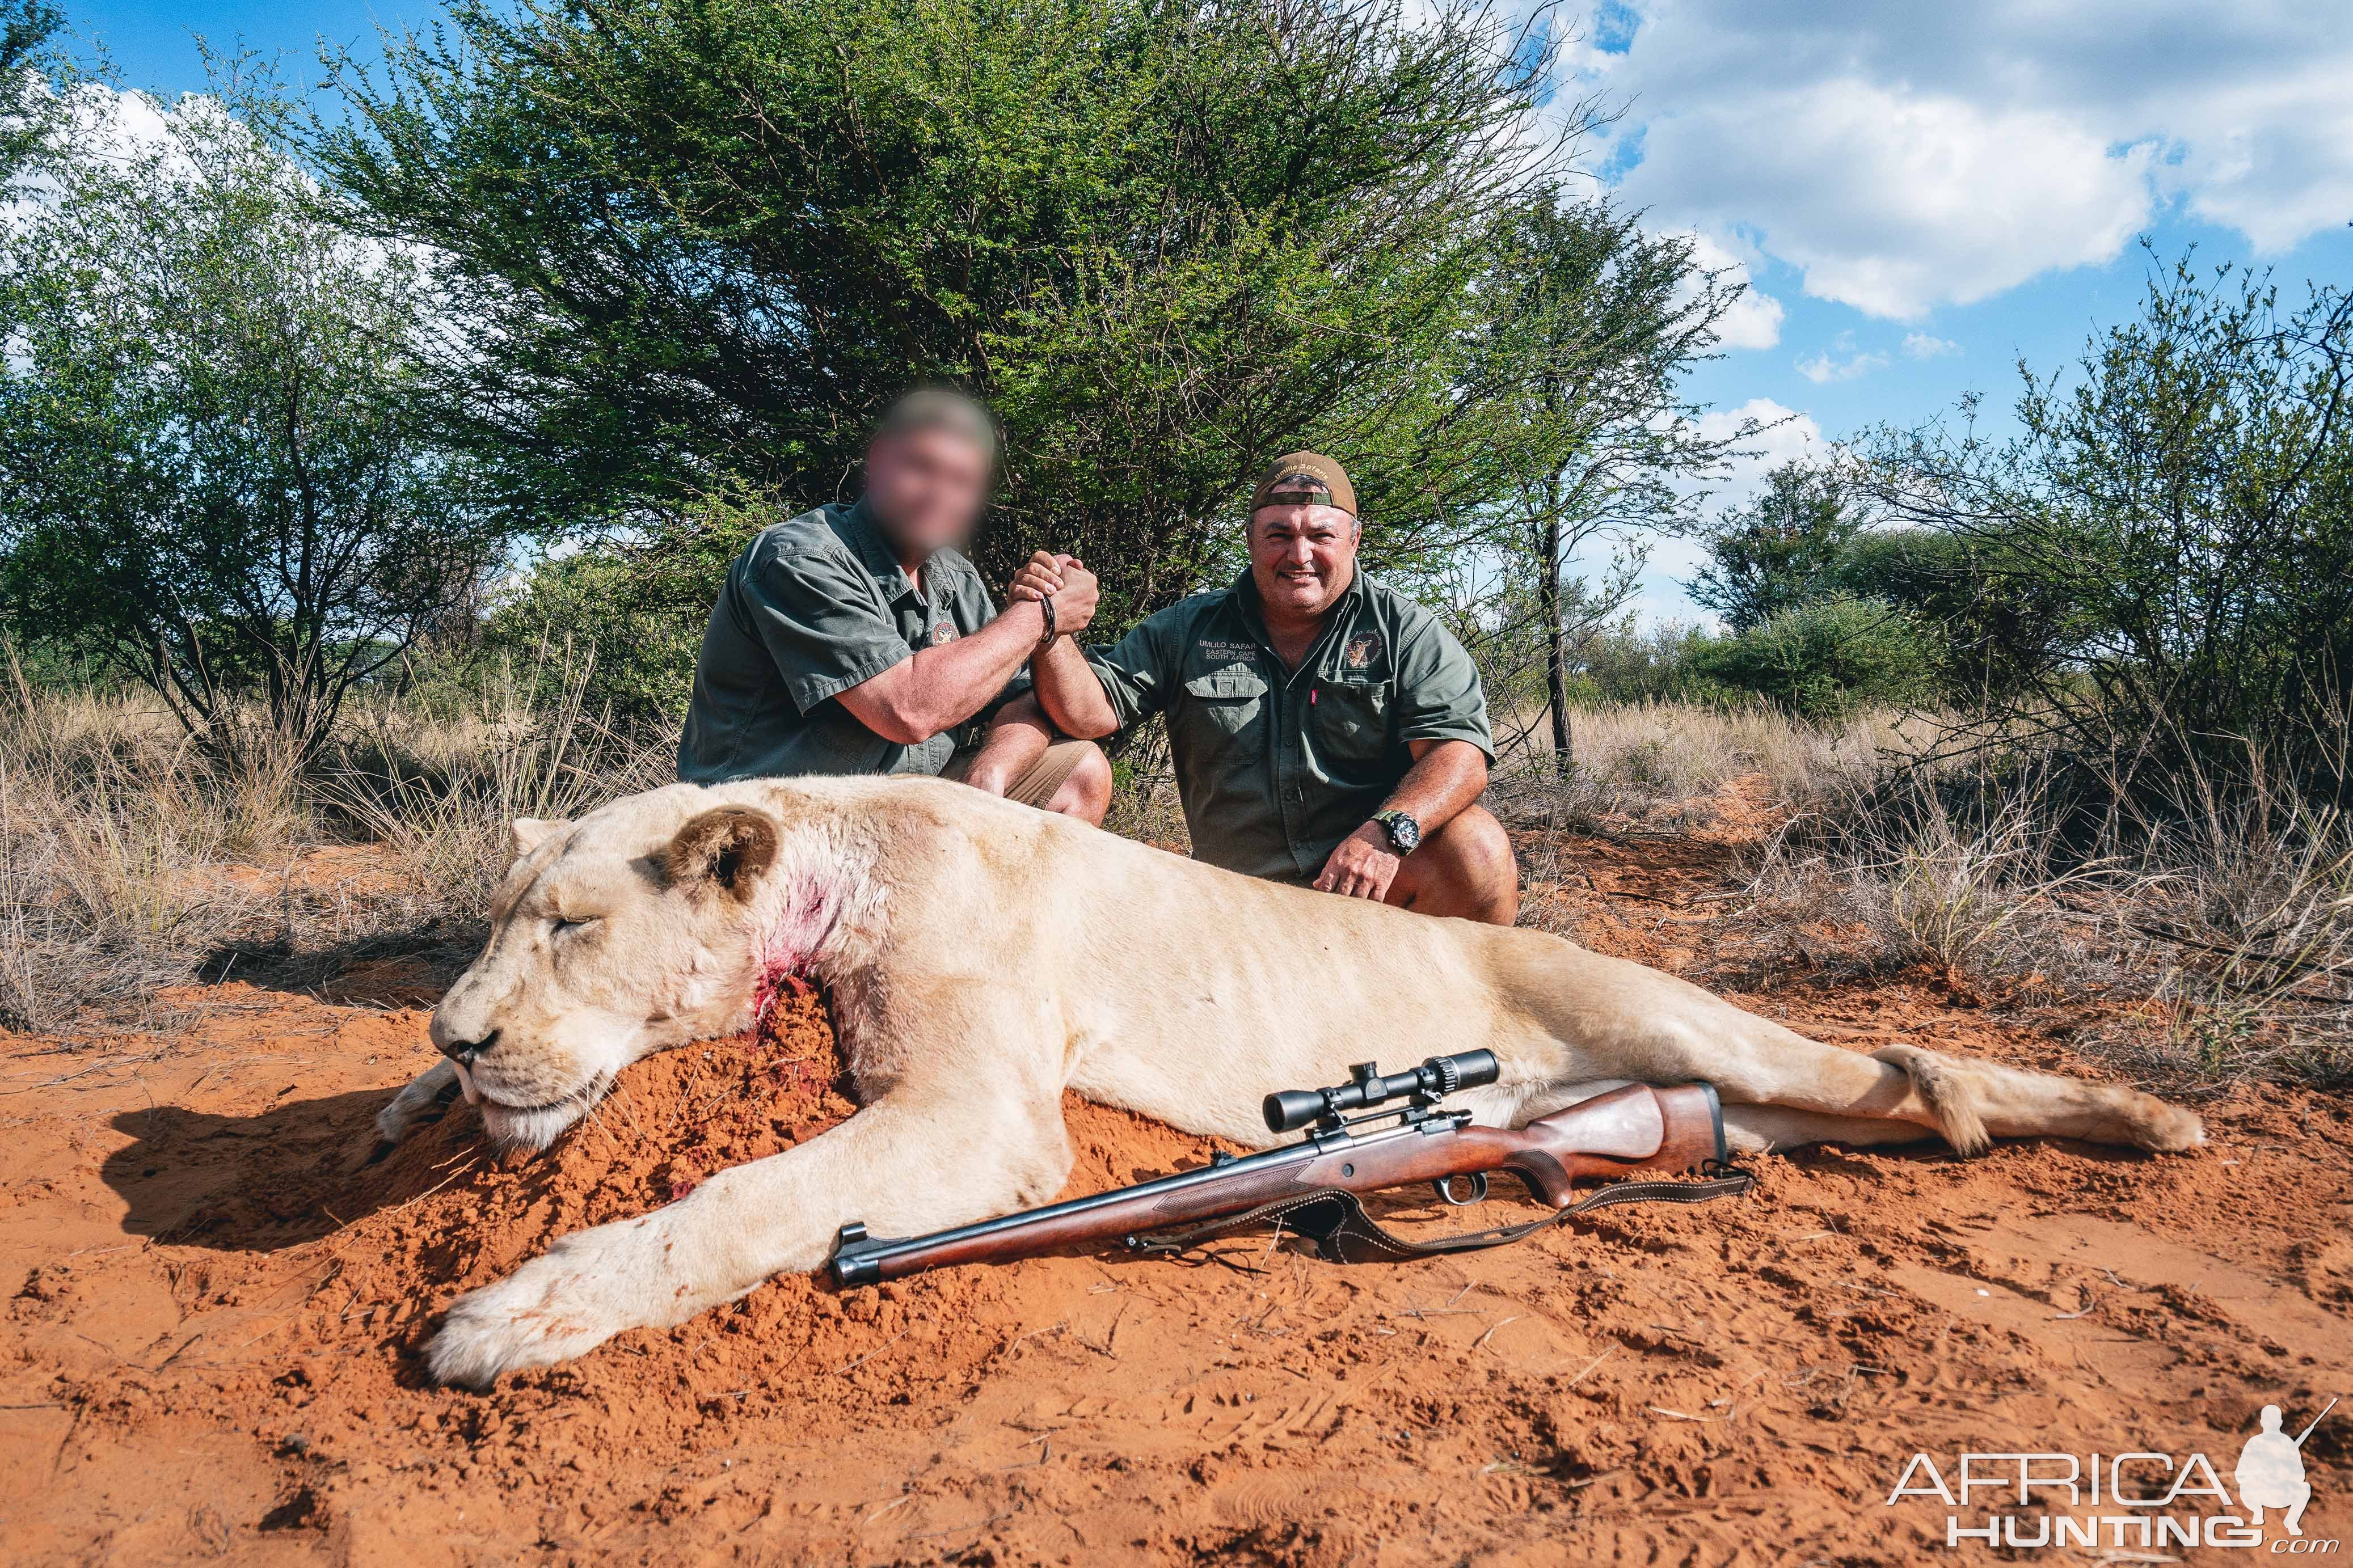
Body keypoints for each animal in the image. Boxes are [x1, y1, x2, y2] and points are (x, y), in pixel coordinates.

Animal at [386, 775, 2202, 1382]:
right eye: (495, 920)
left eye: (570, 922)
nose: (462, 1034)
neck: (833, 857)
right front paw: (418, 1098)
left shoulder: (987, 1112)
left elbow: (744, 1194)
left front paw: (511, 1315)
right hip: (1738, 1103)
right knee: (1847, 1111)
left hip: (1694, 1029)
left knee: (1910, 1066)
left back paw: (2146, 1115)